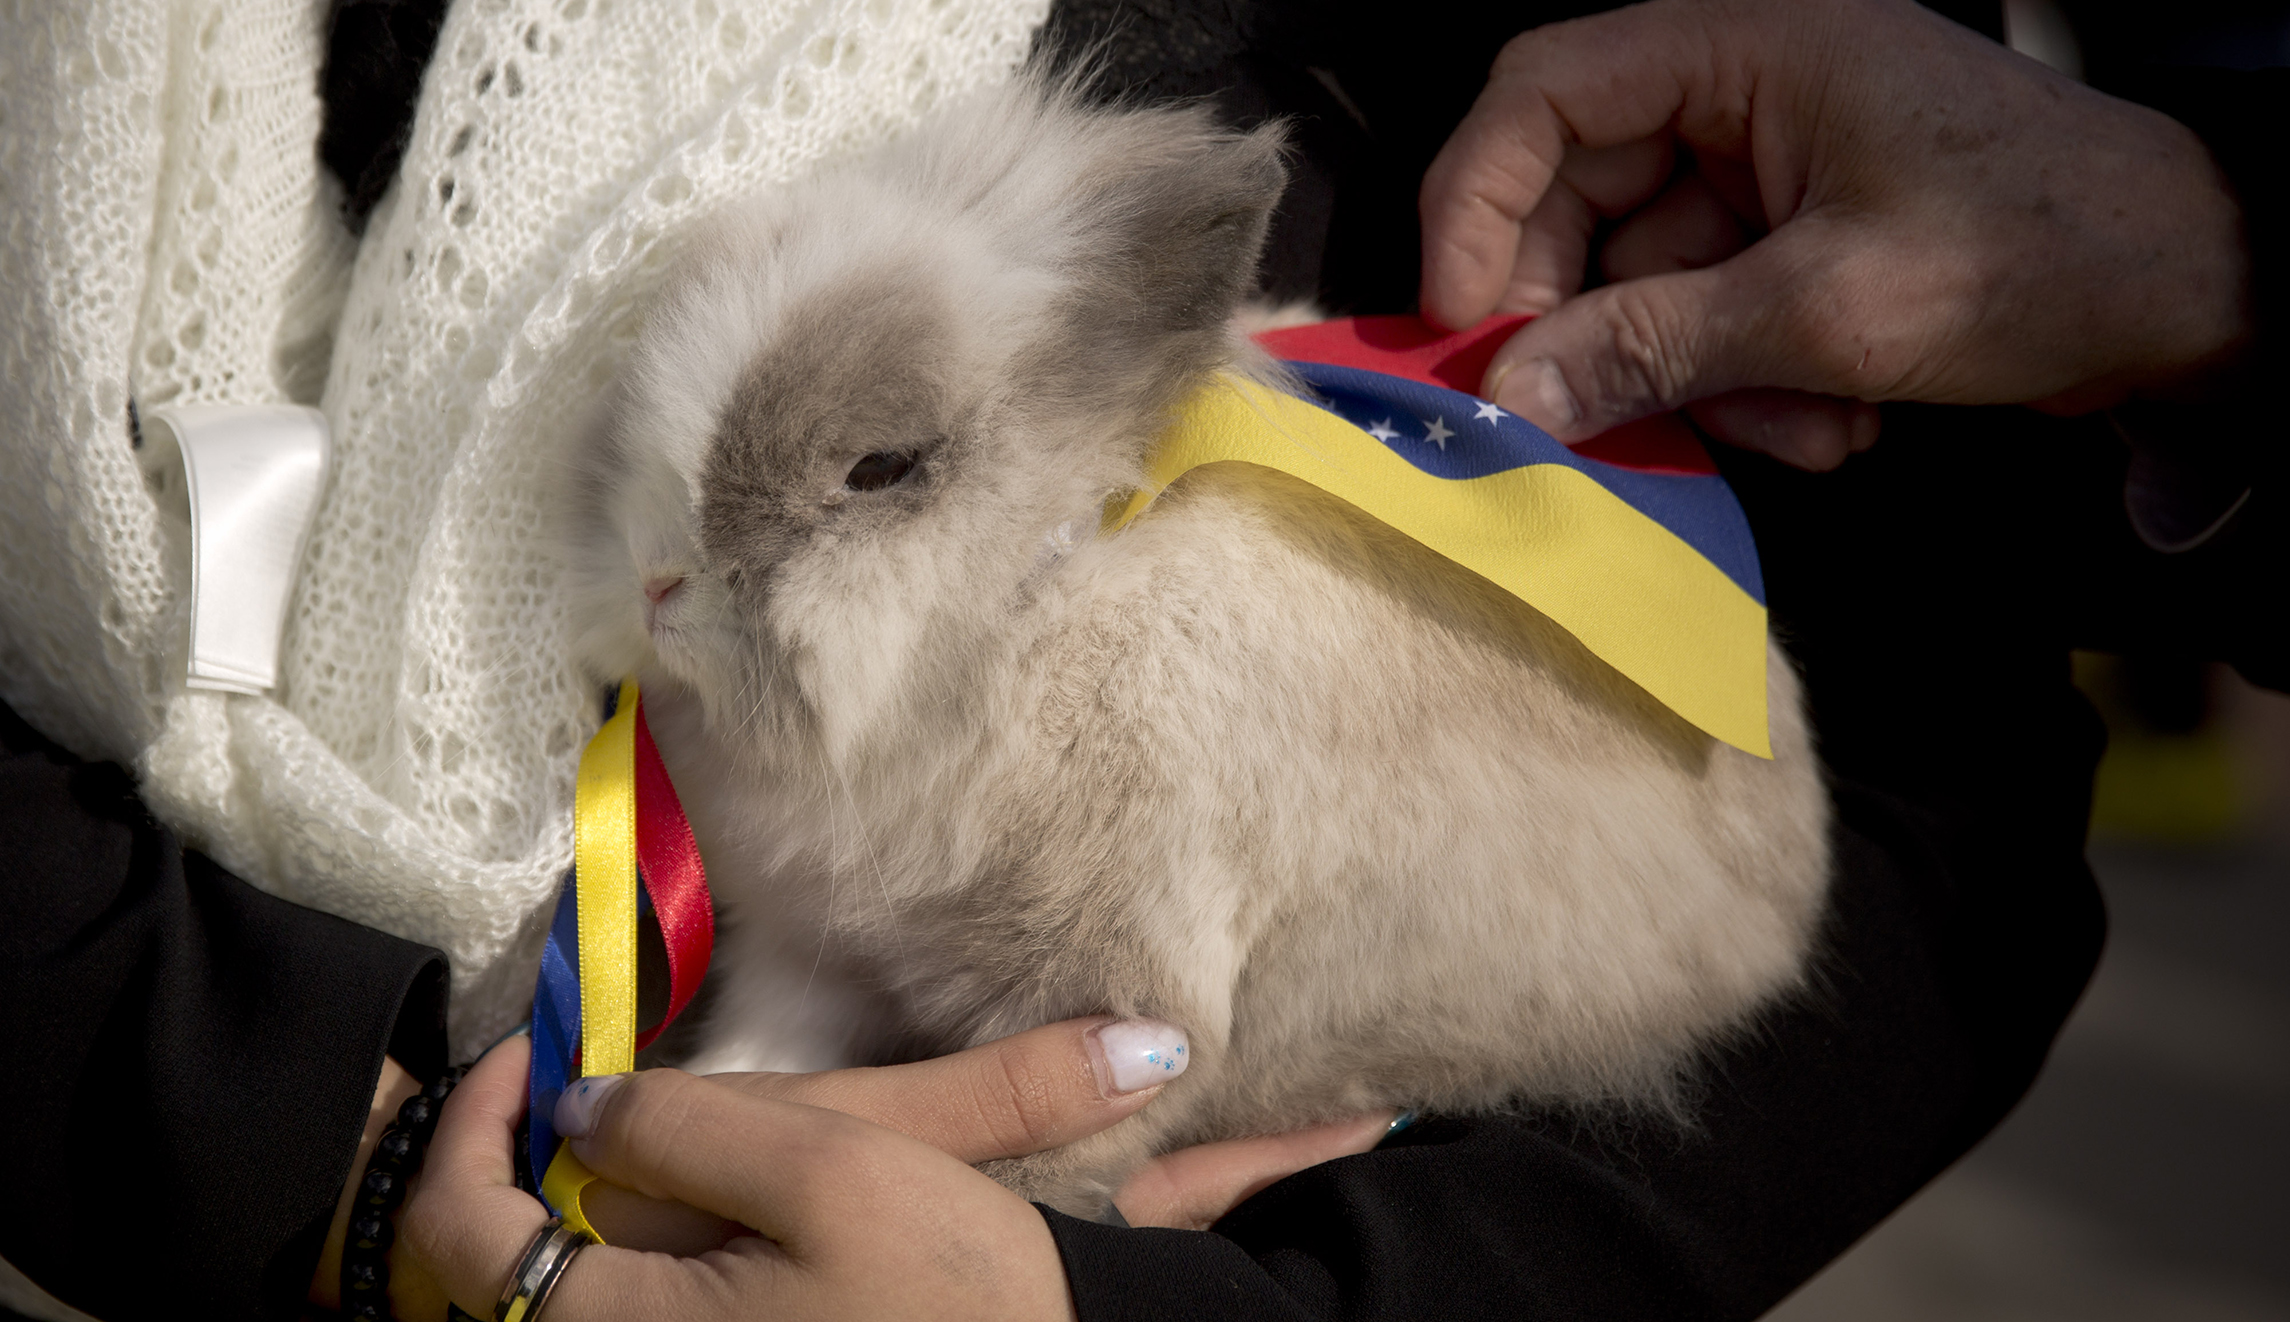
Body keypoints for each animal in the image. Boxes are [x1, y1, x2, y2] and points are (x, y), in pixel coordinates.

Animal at [558, 71, 1832, 1217]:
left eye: (881, 467)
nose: (658, 576)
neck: (1024, 615)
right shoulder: (810, 945)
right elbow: (774, 1040)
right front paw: (713, 1090)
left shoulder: (1124, 996)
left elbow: (1056, 1155)